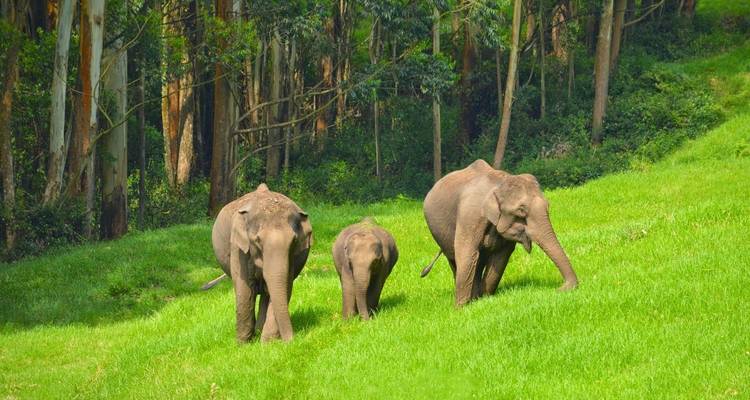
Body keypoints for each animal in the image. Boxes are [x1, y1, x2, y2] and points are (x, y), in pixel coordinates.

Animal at [208, 183, 312, 343]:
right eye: (257, 240)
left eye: (294, 241)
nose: (292, 341)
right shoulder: (238, 248)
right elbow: (244, 289)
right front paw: (242, 343)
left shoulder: (291, 257)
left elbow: (285, 286)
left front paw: (267, 343)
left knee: (266, 293)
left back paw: (259, 331)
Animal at [422, 159, 578, 307]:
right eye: (521, 210)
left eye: (548, 205)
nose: (560, 289)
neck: (499, 183)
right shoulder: (469, 216)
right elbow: (467, 253)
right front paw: (461, 308)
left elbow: (500, 257)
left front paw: (485, 299)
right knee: (455, 260)